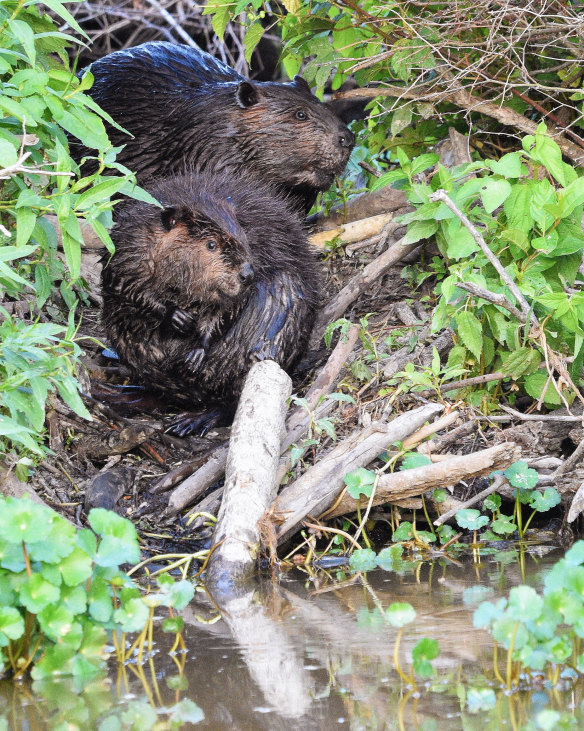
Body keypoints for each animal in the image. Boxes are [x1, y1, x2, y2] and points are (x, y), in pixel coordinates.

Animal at [100, 172, 320, 434]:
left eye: (243, 235)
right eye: (211, 244)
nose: (247, 274)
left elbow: (228, 308)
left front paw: (196, 352)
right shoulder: (130, 246)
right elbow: (123, 285)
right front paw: (176, 317)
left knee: (232, 399)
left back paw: (189, 420)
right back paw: (117, 394)